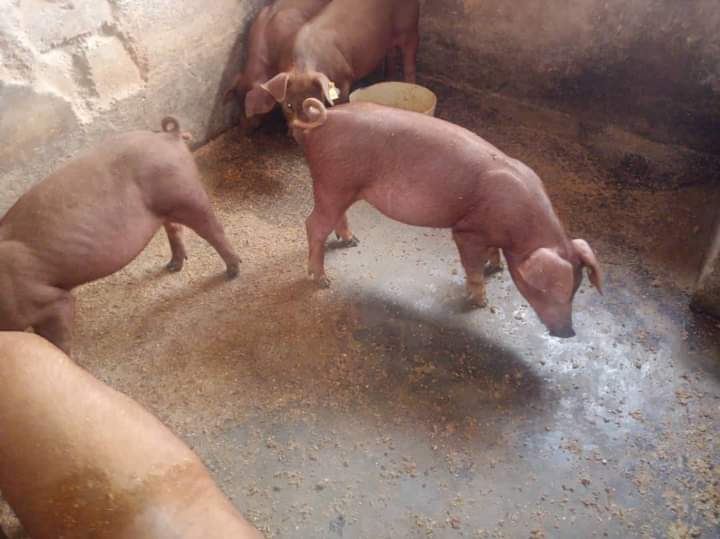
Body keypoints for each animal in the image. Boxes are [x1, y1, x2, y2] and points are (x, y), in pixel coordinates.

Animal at [0, 118, 240, 354]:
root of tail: (169, 136)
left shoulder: (44, 300)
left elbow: (58, 338)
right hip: (167, 207)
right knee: (175, 229)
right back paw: (172, 266)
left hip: (187, 194)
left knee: (212, 229)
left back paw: (232, 272)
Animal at [257, 0, 420, 122]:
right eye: (289, 105)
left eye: (315, 102)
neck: (302, 68)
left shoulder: (345, 78)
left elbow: (340, 101)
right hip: (389, 41)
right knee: (391, 56)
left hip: (410, 27)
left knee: (409, 62)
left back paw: (411, 87)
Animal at [283, 98, 602, 338]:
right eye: (545, 289)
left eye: (576, 288)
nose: (568, 333)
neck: (519, 229)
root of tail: (323, 120)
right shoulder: (467, 232)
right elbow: (473, 268)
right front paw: (481, 301)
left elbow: (492, 253)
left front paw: (496, 267)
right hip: (332, 182)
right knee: (313, 224)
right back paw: (323, 281)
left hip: (343, 187)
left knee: (337, 217)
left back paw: (353, 242)